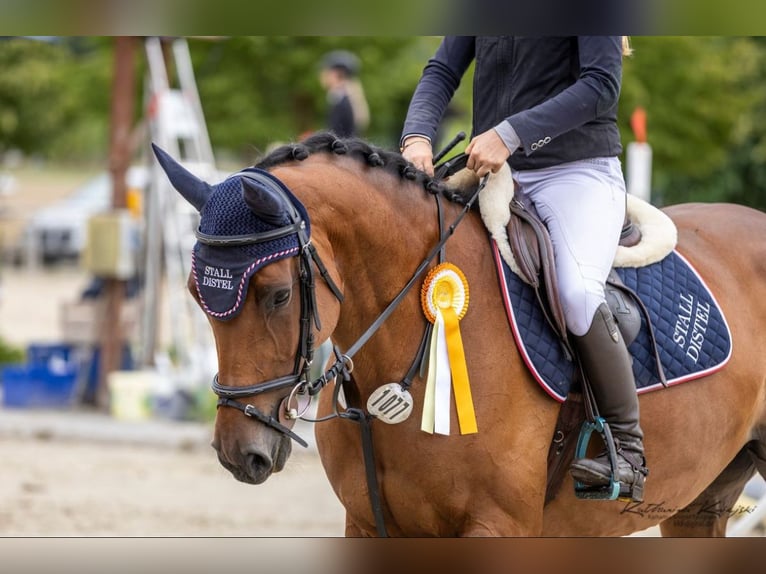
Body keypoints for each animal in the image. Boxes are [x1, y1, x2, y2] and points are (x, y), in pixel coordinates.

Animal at [153, 132, 766, 537]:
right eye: (195, 294)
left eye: (278, 294)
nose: (240, 453)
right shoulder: (368, 524)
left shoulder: (499, 528)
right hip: (700, 505)